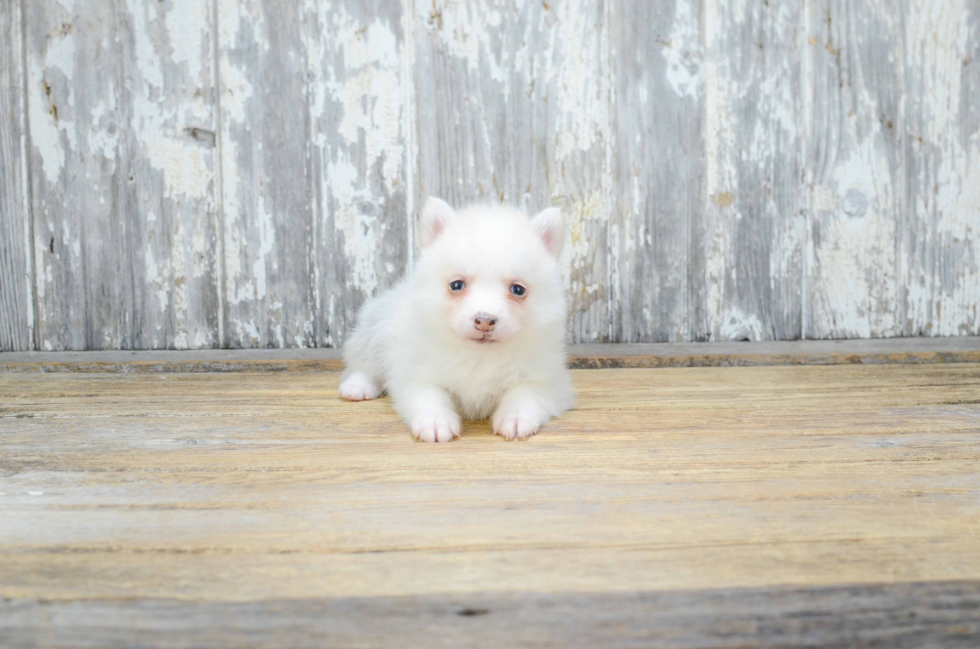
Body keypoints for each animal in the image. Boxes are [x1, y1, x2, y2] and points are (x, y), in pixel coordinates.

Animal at [342, 197, 576, 440]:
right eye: (456, 285)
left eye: (518, 289)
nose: (484, 320)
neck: (480, 357)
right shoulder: (416, 372)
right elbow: (429, 394)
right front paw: (436, 421)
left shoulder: (548, 378)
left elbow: (526, 393)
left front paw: (517, 418)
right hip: (376, 328)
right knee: (364, 364)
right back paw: (358, 386)